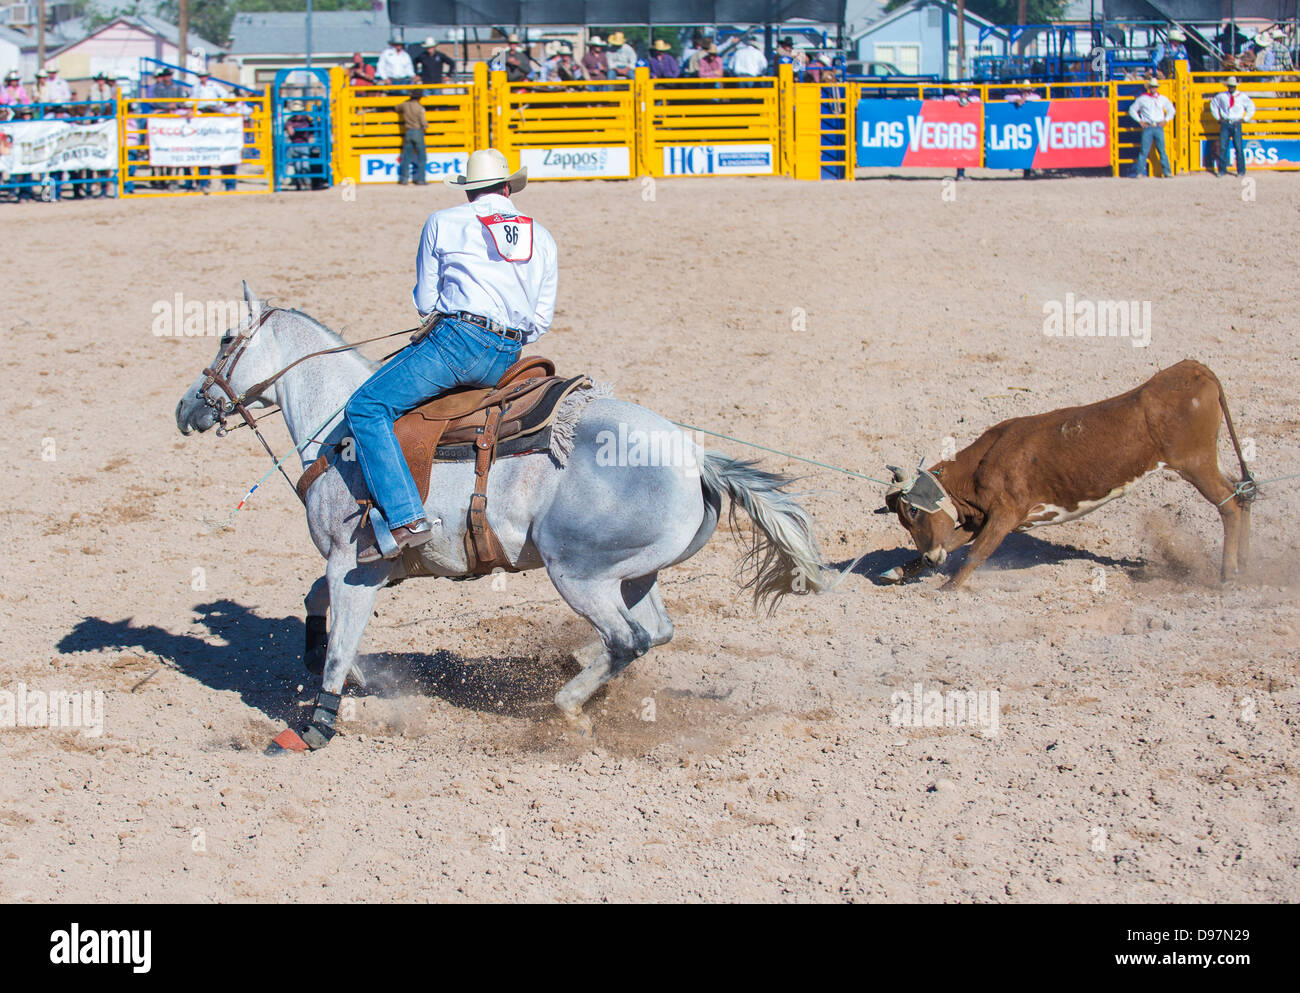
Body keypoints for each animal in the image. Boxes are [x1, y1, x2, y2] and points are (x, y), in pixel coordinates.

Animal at [879, 360, 1255, 590]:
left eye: (913, 510)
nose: (931, 557)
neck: (980, 466)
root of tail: (1194, 369)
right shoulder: (980, 518)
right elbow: (955, 542)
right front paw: (899, 570)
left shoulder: (1006, 513)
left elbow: (976, 552)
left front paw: (947, 588)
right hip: (1208, 460)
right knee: (1242, 494)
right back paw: (1245, 563)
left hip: (1196, 462)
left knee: (1229, 505)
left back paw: (1228, 573)